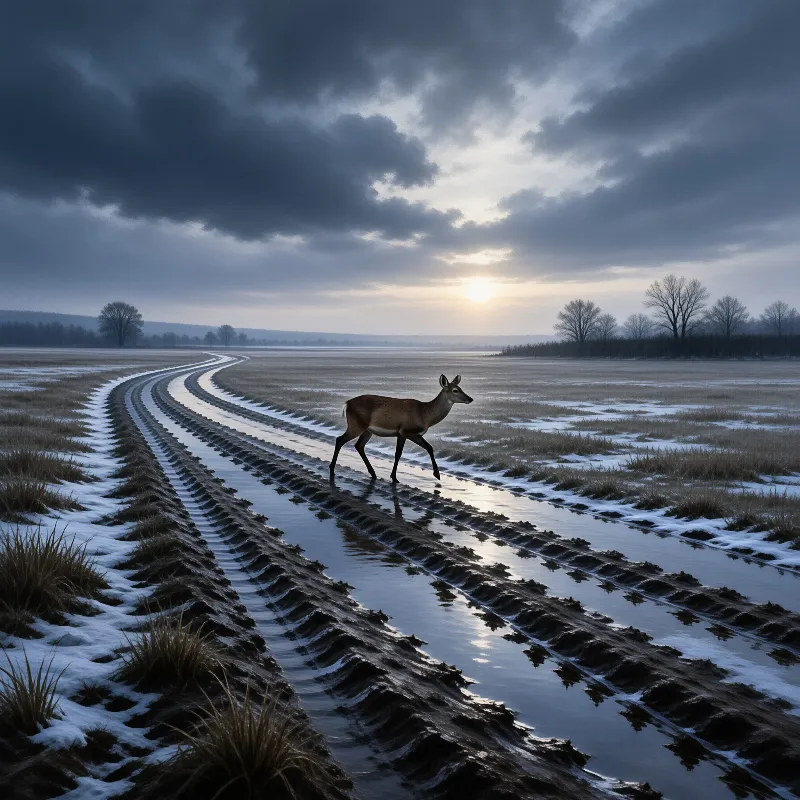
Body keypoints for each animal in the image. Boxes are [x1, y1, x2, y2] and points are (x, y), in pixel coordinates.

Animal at [329, 374, 473, 482]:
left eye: (460, 387)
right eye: (455, 390)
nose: (470, 399)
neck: (424, 415)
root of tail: (347, 404)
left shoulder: (412, 433)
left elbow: (429, 447)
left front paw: (436, 474)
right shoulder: (405, 431)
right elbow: (399, 453)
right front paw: (394, 477)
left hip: (367, 430)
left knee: (359, 445)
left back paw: (373, 472)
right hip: (357, 425)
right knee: (340, 440)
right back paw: (332, 468)